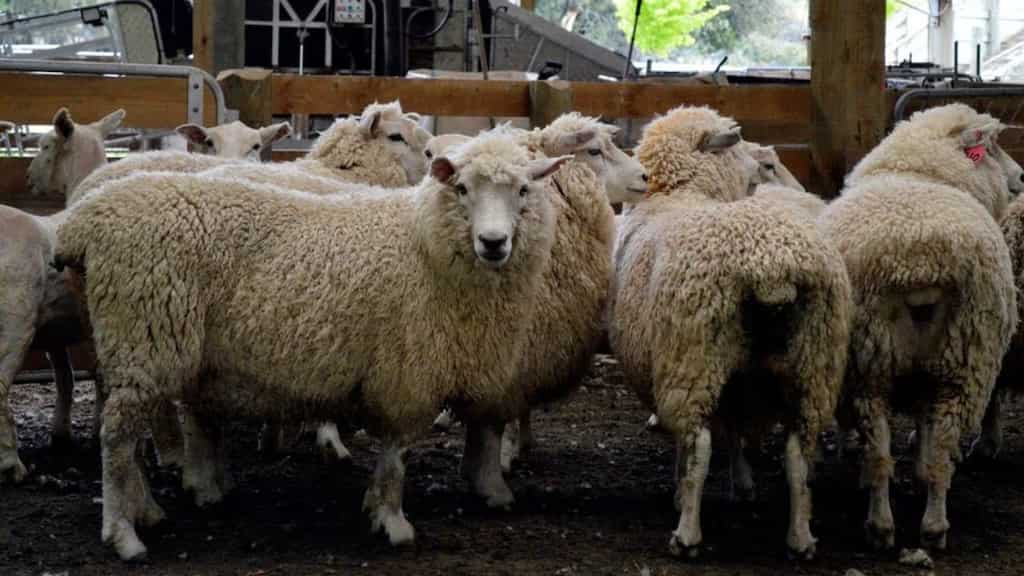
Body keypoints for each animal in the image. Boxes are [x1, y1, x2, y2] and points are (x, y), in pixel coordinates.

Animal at [0, 107, 124, 483]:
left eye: (43, 146)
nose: (28, 177)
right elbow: (83, 377)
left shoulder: (58, 330)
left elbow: (69, 378)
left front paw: (63, 434)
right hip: (15, 319)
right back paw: (10, 463)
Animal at [53, 130, 567, 560]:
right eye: (461, 189)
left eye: (524, 191)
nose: (494, 242)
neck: (424, 242)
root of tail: (86, 218)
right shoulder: (406, 372)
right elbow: (396, 456)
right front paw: (393, 521)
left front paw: (375, 508)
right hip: (145, 338)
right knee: (117, 437)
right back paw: (123, 534)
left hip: (128, 346)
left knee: (128, 435)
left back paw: (146, 511)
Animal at [610, 105, 851, 559]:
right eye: (739, 147)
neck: (682, 193)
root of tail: (771, 267)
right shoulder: (739, 381)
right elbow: (737, 431)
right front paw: (742, 484)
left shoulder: (675, 365)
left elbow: (696, 442)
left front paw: (681, 490)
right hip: (812, 363)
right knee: (798, 452)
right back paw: (800, 537)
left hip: (695, 359)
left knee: (700, 444)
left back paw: (686, 533)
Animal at [819, 103, 1018, 551]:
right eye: (992, 148)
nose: (1021, 179)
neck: (917, 170)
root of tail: (920, 262)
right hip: (956, 359)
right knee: (935, 445)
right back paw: (925, 525)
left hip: (884, 365)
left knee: (883, 451)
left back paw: (891, 525)